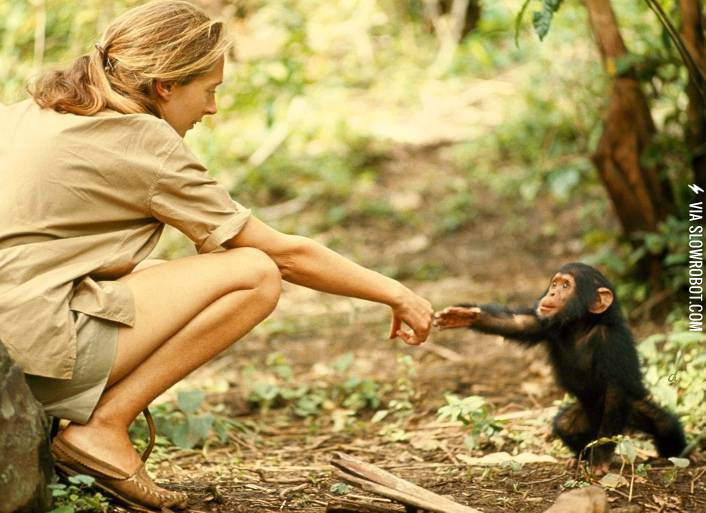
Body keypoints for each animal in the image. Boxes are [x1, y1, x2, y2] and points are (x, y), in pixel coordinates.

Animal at [433, 262, 687, 474]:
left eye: (566, 285)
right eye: (555, 283)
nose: (552, 293)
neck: (581, 325)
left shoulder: (612, 343)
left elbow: (615, 390)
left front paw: (601, 458)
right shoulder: (544, 323)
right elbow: (516, 324)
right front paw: (465, 315)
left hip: (628, 411)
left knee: (664, 425)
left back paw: (678, 454)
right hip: (586, 416)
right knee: (566, 426)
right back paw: (580, 457)